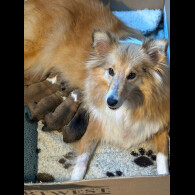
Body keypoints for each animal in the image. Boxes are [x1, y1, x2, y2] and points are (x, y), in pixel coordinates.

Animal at [24, 0, 170, 181]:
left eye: (132, 75)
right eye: (111, 71)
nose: (111, 102)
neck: (129, 107)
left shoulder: (160, 124)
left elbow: (163, 156)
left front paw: (163, 175)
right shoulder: (94, 122)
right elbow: (82, 160)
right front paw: (75, 179)